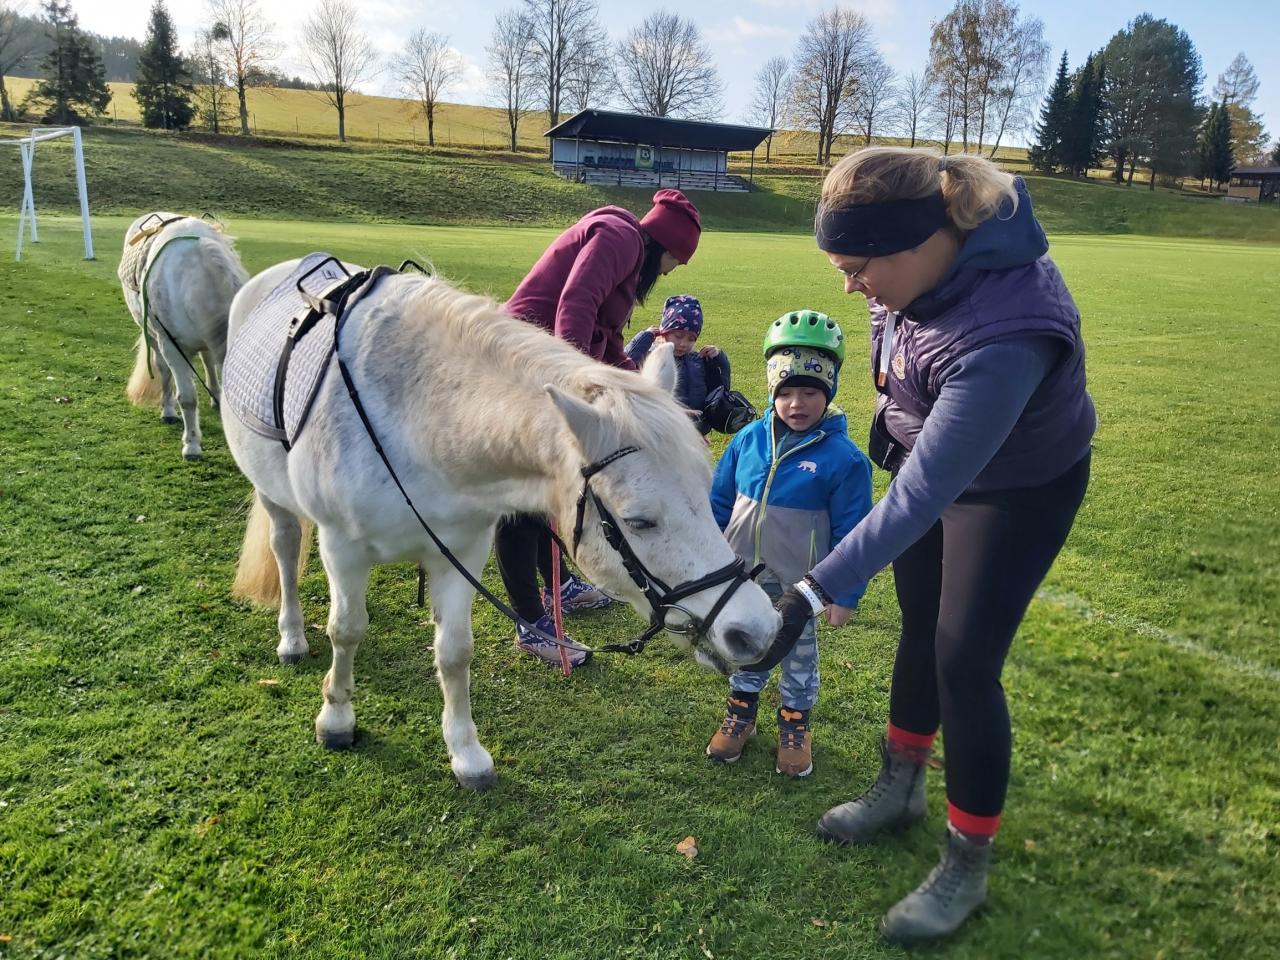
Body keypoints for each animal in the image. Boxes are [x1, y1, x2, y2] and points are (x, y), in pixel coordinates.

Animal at [119, 212, 250, 460]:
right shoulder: (173, 347)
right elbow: (187, 398)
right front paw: (191, 445)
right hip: (154, 336)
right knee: (162, 369)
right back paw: (168, 410)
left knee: (207, 362)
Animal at [223, 259, 780, 790]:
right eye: (639, 520)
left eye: (707, 493)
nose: (758, 629)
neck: (422, 420)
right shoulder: (343, 548)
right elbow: (346, 629)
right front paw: (336, 719)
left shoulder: (461, 552)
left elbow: (454, 652)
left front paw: (467, 755)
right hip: (273, 495)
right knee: (285, 549)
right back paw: (292, 638)